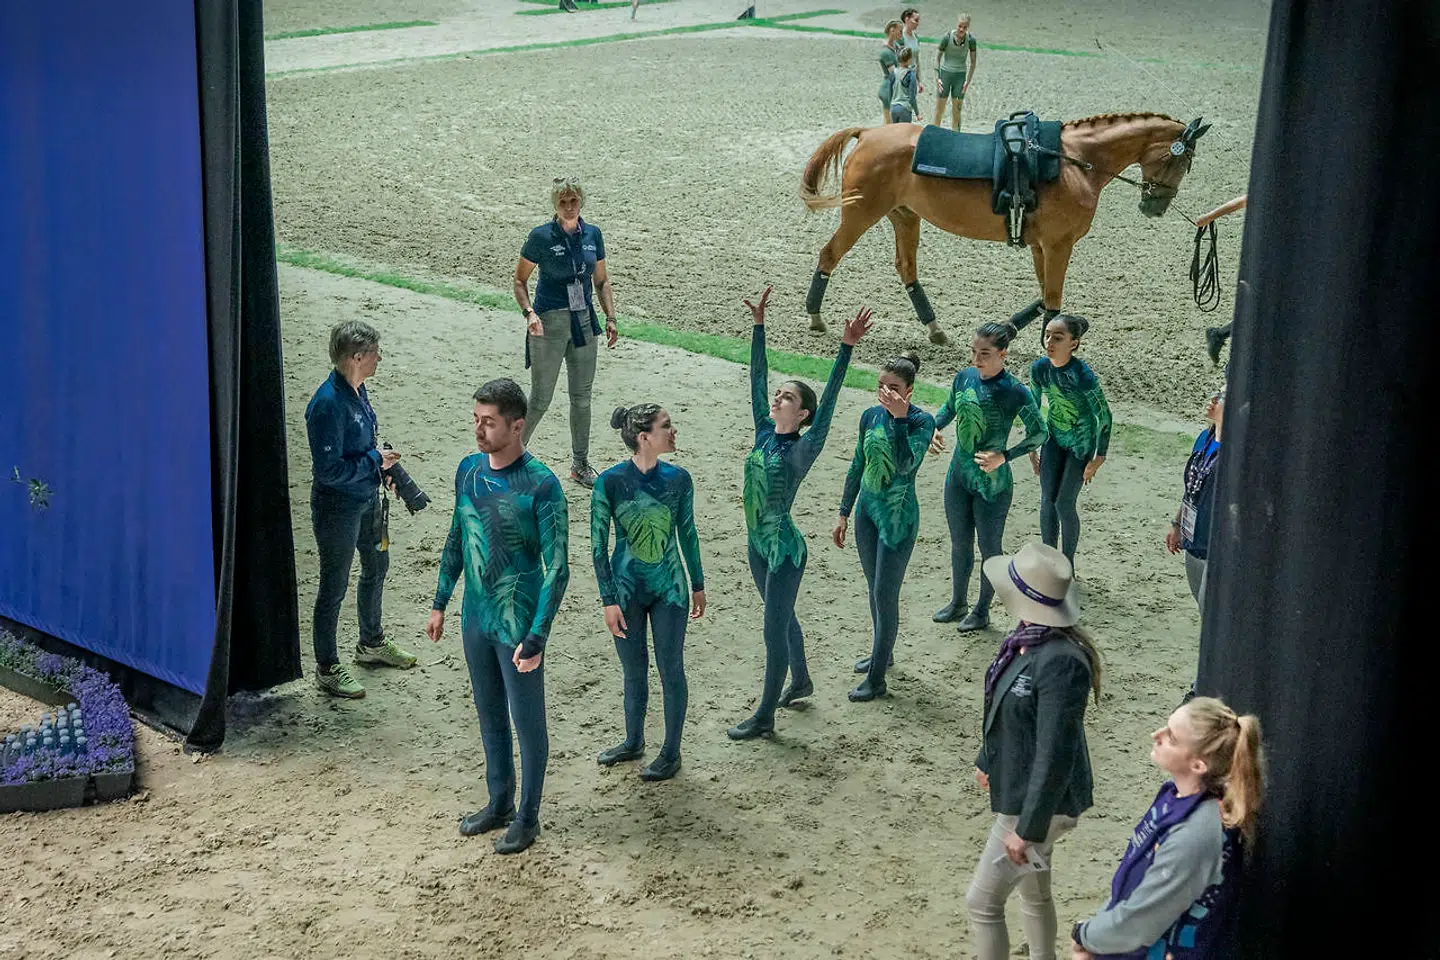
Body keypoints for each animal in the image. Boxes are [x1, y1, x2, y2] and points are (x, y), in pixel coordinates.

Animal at [799, 113, 1210, 344]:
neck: (1074, 162)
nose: (1155, 206)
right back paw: (815, 317)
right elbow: (1053, 299)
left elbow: (1044, 296)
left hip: (905, 217)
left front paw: (1006, 330)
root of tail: (869, 133)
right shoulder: (1058, 244)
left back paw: (934, 328)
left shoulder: (1042, 246)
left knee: (906, 269)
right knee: (829, 255)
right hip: (860, 214)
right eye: (1183, 160)